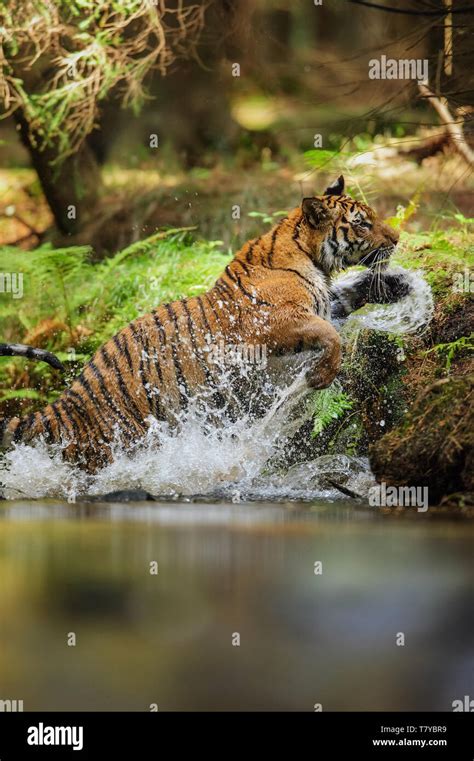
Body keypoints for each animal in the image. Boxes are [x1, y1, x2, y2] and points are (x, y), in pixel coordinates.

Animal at [0, 176, 400, 472]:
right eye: (362, 223)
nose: (397, 239)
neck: (311, 257)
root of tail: (63, 405)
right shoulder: (273, 324)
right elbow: (331, 334)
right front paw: (321, 376)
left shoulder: (322, 304)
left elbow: (345, 299)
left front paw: (396, 286)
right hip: (120, 442)